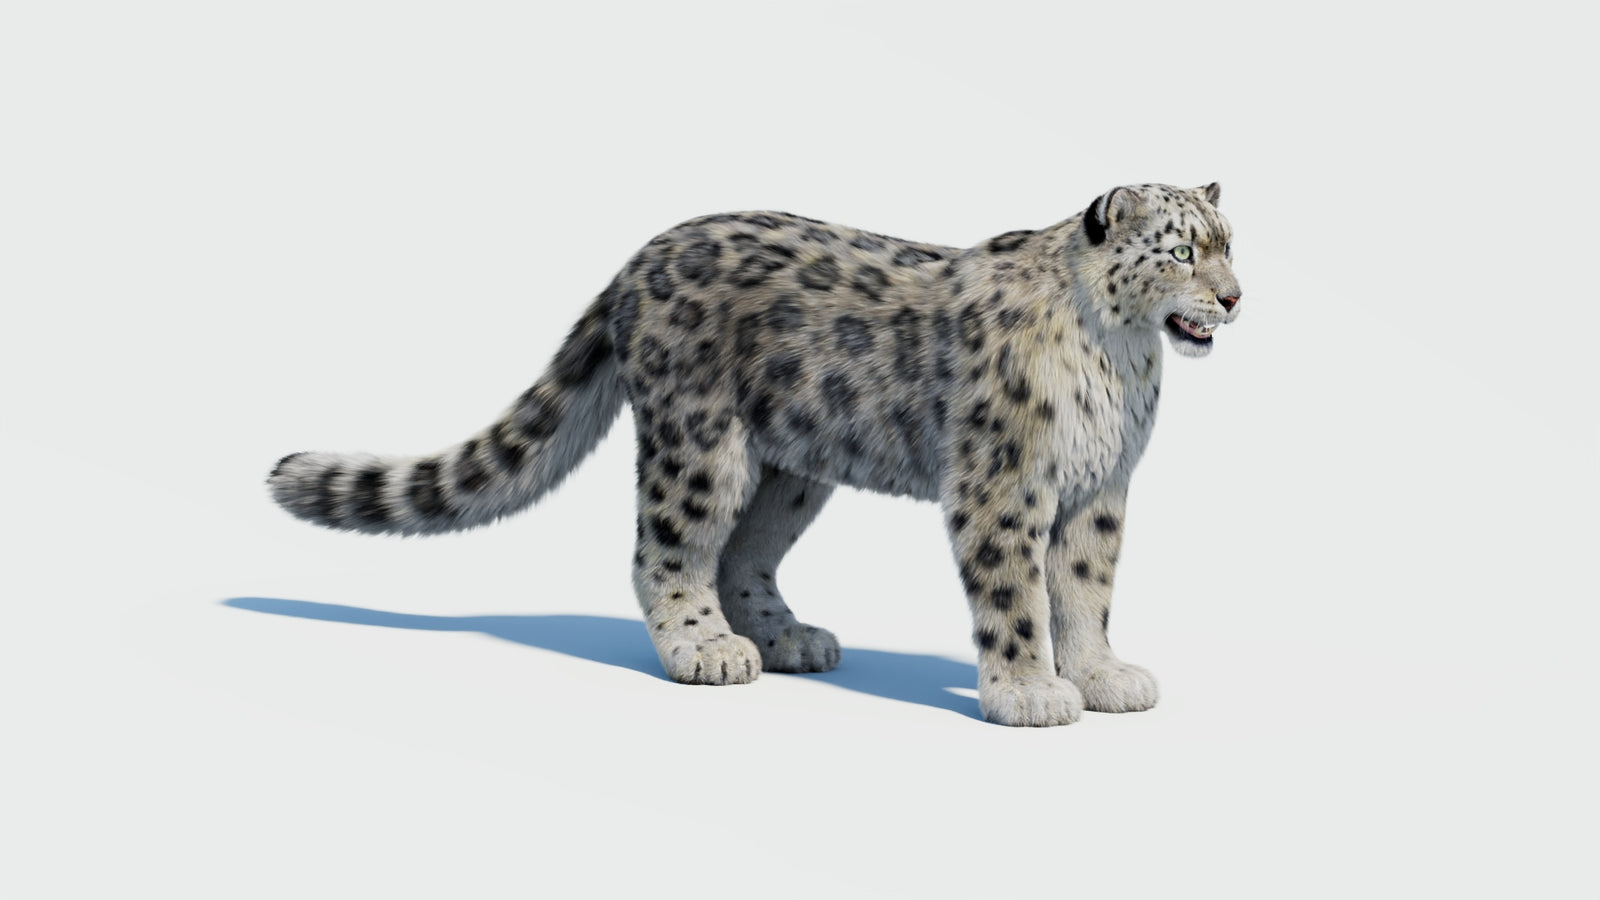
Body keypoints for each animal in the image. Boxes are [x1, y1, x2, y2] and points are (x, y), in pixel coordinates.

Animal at [267, 182, 1242, 727]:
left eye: (1232, 245)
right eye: (1181, 250)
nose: (1234, 298)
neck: (1121, 361)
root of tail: (635, 261)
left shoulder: (1099, 488)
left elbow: (1085, 589)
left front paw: (1103, 676)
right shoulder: (1003, 483)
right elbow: (1015, 593)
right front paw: (1029, 693)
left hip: (791, 469)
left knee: (744, 553)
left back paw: (784, 638)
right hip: (702, 445)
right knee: (667, 548)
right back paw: (704, 649)